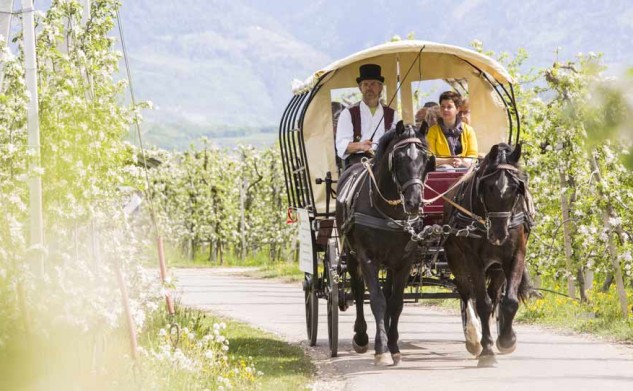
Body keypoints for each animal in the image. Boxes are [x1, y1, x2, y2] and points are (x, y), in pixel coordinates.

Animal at [336, 121, 434, 368]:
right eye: (397, 158)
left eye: (426, 159)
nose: (414, 202)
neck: (389, 210)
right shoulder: (367, 258)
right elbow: (377, 300)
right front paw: (381, 349)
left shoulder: (404, 261)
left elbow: (396, 302)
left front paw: (394, 346)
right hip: (351, 254)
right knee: (358, 290)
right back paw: (361, 336)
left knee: (388, 293)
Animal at [442, 143, 532, 368]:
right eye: (488, 186)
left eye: (516, 188)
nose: (499, 234)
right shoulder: (472, 259)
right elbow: (482, 303)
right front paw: (487, 351)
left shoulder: (515, 255)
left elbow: (509, 301)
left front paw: (507, 340)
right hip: (456, 258)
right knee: (467, 293)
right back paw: (474, 339)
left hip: (497, 267)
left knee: (493, 294)